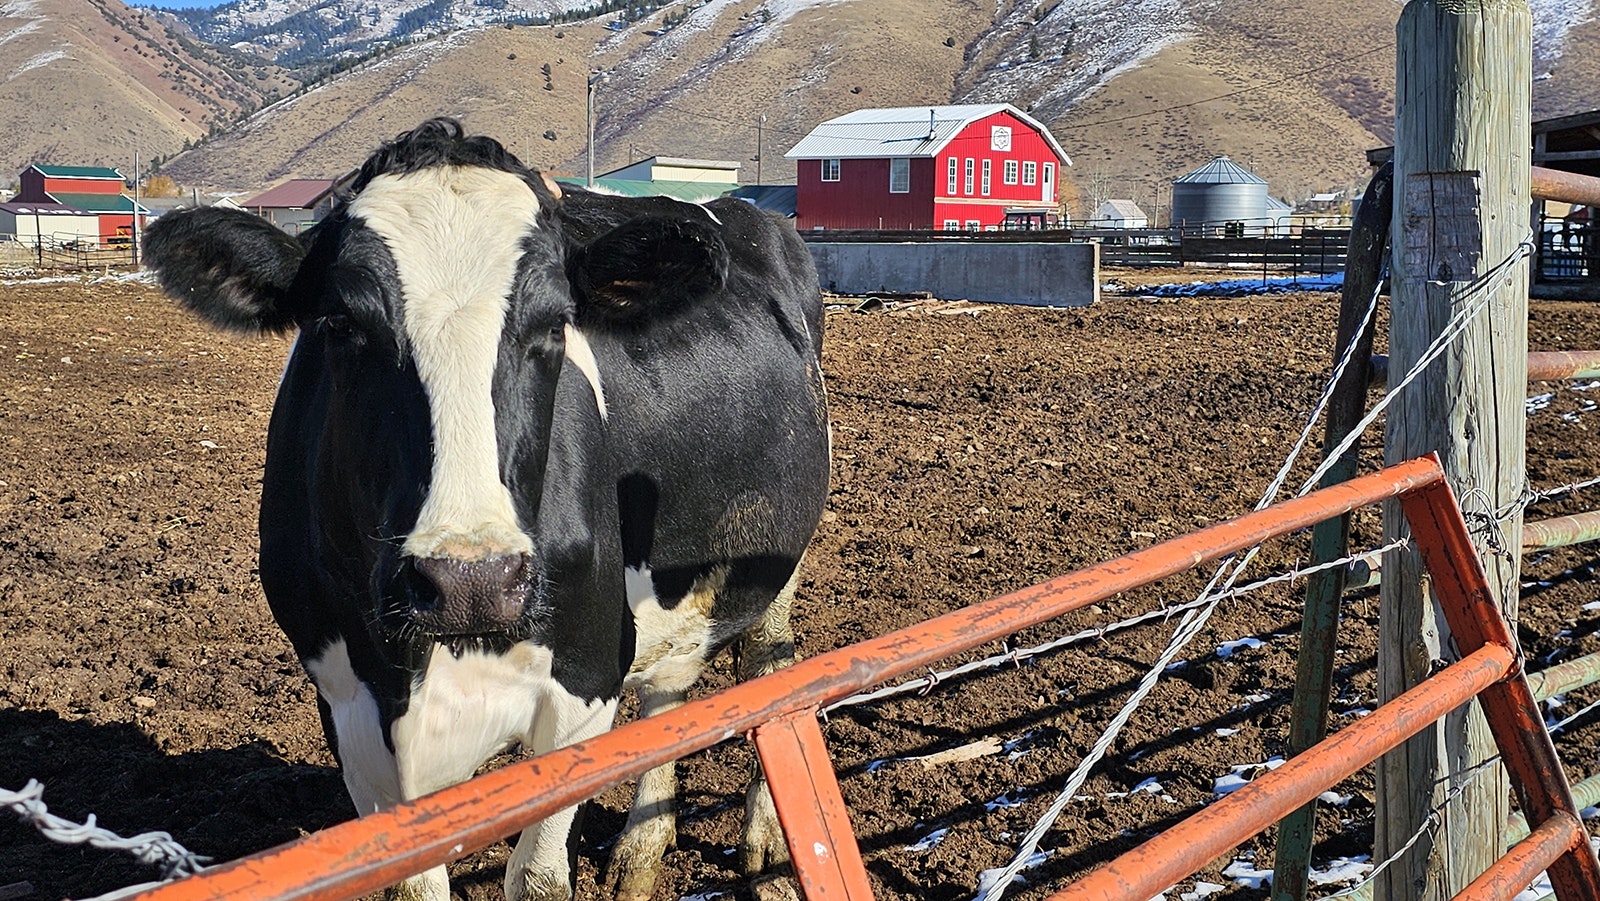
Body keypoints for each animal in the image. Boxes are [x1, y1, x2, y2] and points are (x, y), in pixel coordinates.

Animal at [144, 120, 832, 901]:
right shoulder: (349, 706)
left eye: (556, 324)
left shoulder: (586, 678)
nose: (469, 580)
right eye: (339, 324)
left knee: (770, 662)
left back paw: (767, 845)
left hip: (781, 556)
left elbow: (536, 877)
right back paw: (639, 851)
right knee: (670, 689)